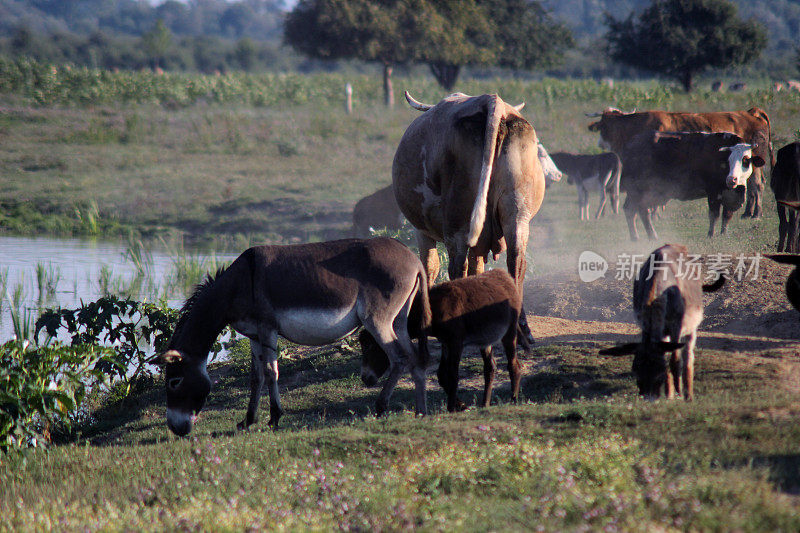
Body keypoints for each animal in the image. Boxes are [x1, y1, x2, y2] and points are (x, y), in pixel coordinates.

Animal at [360, 270, 528, 412]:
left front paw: (451, 408)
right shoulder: (446, 342)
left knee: (514, 364)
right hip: (484, 340)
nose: (365, 379)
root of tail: (505, 277)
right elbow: (442, 375)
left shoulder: (456, 343)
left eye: (370, 346)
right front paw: (460, 405)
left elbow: (453, 375)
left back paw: (513, 400)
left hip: (509, 331)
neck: (432, 310)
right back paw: (485, 404)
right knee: (490, 367)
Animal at [392, 91, 548, 340]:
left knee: (457, 266)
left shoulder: (422, 231)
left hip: (458, 223)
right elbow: (478, 267)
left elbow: (429, 267)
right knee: (516, 261)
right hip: (517, 214)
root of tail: (491, 101)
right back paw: (521, 326)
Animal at [588, 107, 776, 217]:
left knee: (757, 185)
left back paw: (756, 213)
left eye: (604, 126)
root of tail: (751, 113)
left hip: (753, 164)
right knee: (752, 185)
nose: (600, 143)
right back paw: (748, 212)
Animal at [600, 245, 724, 400]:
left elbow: (675, 360)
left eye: (658, 375)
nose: (648, 397)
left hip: (691, 329)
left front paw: (679, 391)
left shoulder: (676, 327)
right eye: (636, 373)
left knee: (688, 356)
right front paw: (669, 395)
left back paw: (688, 394)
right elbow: (666, 356)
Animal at [616, 130, 764, 240]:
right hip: (640, 190)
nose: (732, 179)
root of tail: (631, 144)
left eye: (745, 160)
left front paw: (724, 234)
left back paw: (638, 236)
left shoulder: (729, 195)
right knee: (640, 210)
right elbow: (714, 214)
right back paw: (649, 235)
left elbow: (727, 215)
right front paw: (710, 235)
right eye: (728, 160)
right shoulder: (713, 192)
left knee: (632, 209)